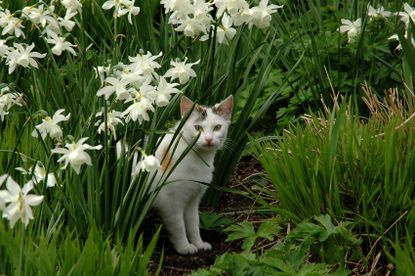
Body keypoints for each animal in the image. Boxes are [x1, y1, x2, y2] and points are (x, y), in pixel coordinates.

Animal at [151, 95, 234, 254]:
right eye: (198, 128)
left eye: (217, 127)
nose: (208, 139)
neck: (197, 160)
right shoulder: (170, 203)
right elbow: (178, 227)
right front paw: (184, 247)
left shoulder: (193, 199)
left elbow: (193, 223)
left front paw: (199, 243)